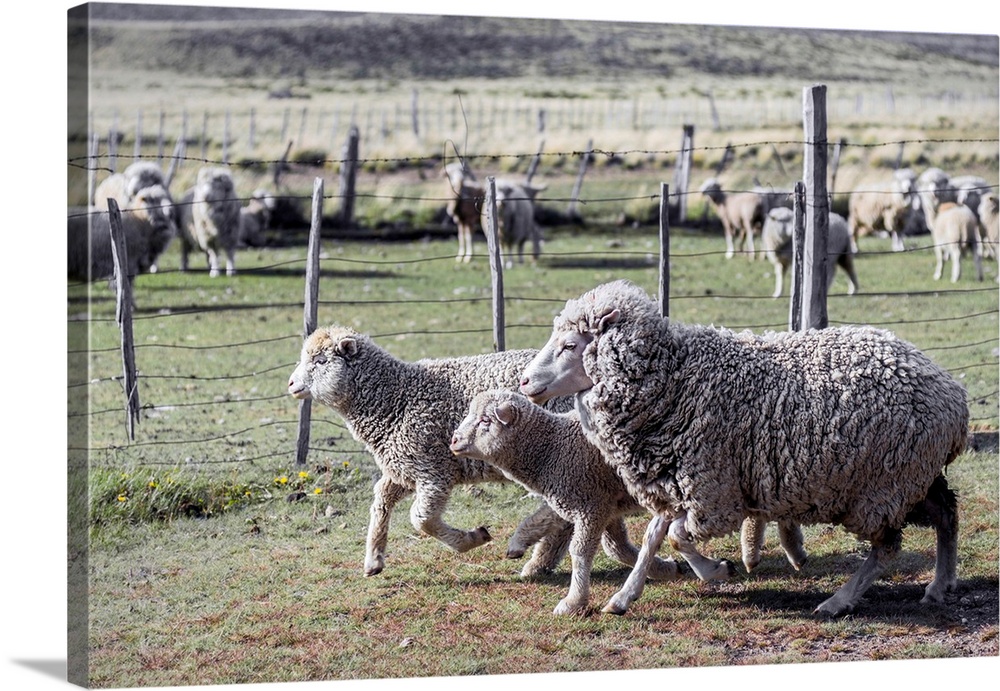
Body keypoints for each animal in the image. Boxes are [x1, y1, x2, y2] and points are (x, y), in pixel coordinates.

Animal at [286, 324, 576, 580]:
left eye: (321, 360)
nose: (290, 384)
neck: (395, 400)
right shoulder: (404, 468)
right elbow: (381, 501)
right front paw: (374, 561)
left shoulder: (433, 471)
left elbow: (421, 519)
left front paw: (472, 539)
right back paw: (539, 564)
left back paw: (526, 544)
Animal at [450, 390, 684, 616]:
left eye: (485, 420)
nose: (453, 440)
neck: (552, 449)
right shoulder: (597, 503)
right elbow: (615, 547)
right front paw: (666, 569)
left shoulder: (591, 506)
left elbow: (581, 551)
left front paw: (574, 601)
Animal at [524, 280, 968, 616]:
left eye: (569, 345)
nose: (526, 382)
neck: (674, 381)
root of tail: (952, 394)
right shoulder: (676, 482)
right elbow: (652, 538)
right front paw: (622, 597)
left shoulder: (714, 492)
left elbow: (678, 537)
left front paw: (718, 570)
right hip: (913, 478)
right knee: (946, 512)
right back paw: (939, 585)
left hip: (881, 487)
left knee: (887, 548)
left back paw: (838, 601)